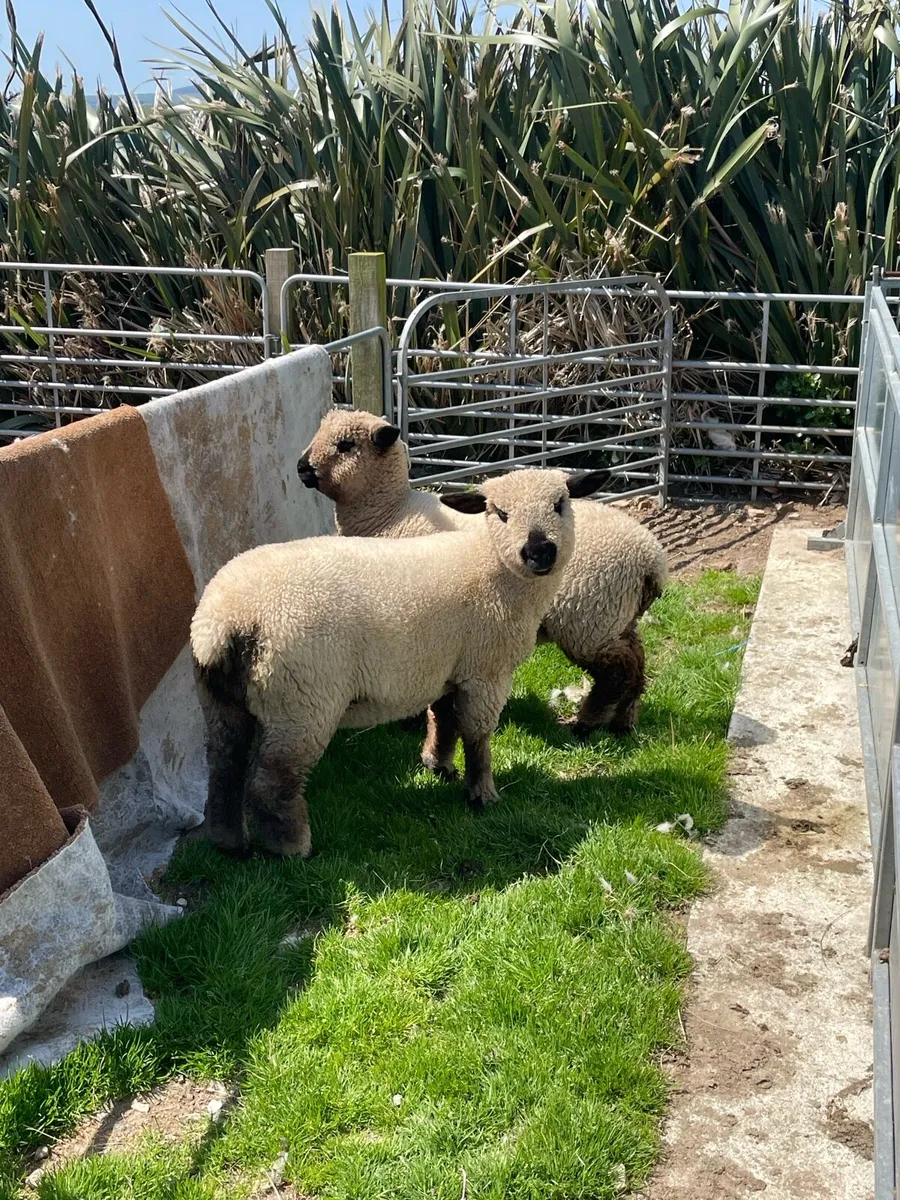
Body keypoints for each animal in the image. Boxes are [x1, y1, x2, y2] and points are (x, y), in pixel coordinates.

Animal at [191, 467, 604, 857]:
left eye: (560, 505)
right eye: (500, 513)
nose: (540, 551)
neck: (492, 563)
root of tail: (224, 620)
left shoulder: (445, 666)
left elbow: (444, 719)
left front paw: (439, 765)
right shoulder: (486, 670)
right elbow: (477, 737)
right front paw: (482, 795)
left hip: (222, 700)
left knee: (224, 766)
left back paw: (229, 844)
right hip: (301, 700)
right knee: (271, 782)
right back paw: (293, 849)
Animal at [298, 408, 668, 737]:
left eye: (346, 444)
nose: (301, 467)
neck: (390, 512)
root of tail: (651, 556)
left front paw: (411, 722)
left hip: (589, 616)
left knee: (616, 672)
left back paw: (587, 725)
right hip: (616, 615)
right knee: (636, 661)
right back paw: (623, 723)